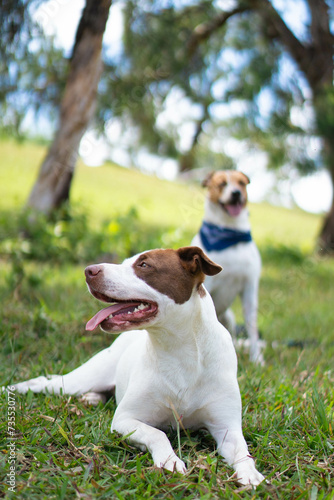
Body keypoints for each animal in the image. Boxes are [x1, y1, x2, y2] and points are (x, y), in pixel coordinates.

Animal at [9, 248, 264, 486]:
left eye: (144, 265)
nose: (89, 270)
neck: (181, 350)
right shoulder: (125, 419)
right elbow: (158, 434)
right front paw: (170, 461)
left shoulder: (227, 428)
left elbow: (243, 452)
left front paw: (250, 474)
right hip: (77, 381)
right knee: (46, 382)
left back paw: (92, 398)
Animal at [192, 172, 264, 364]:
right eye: (222, 184)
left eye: (241, 183)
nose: (236, 193)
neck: (229, 231)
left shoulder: (250, 287)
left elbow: (252, 326)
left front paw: (256, 358)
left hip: (229, 318)